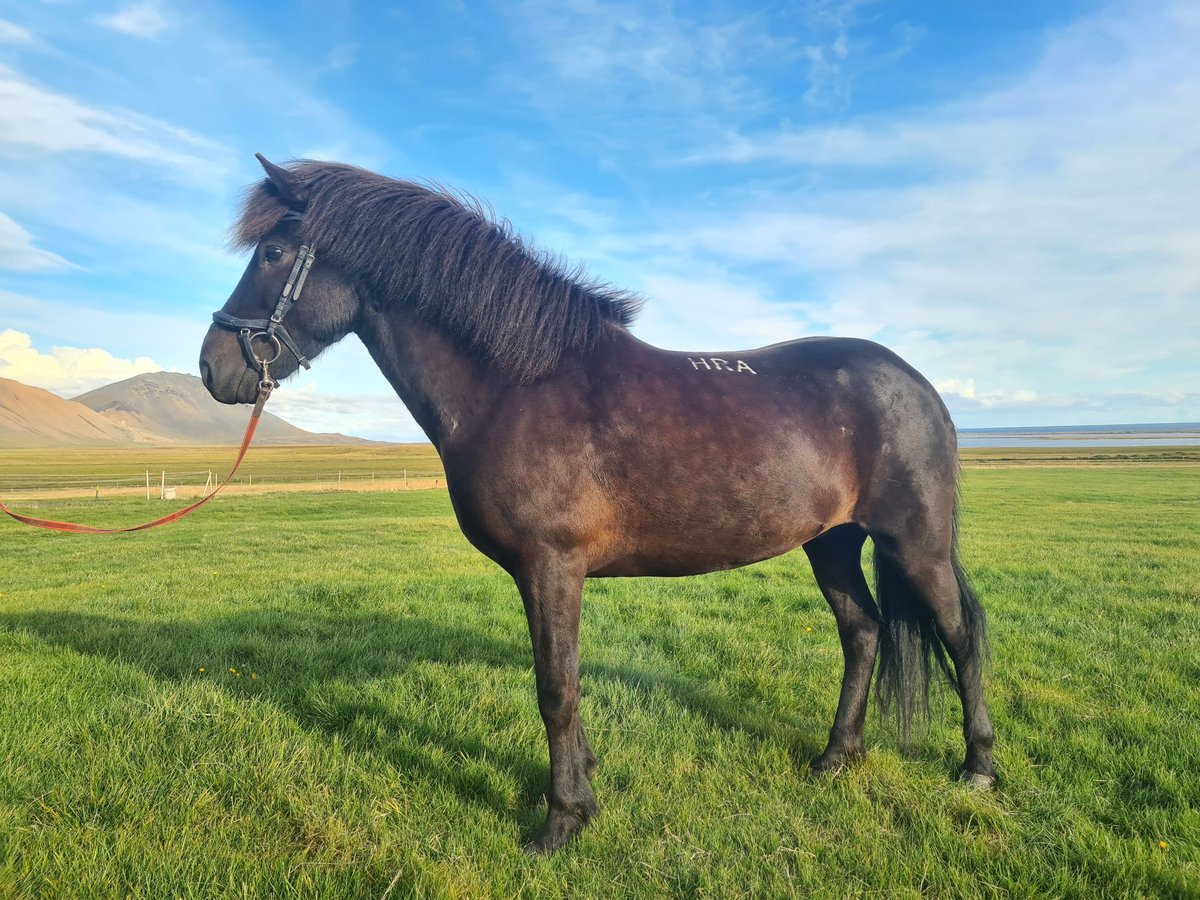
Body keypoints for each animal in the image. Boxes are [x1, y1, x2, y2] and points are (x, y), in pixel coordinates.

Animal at [201, 153, 998, 854]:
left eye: (273, 251)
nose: (212, 369)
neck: (519, 386)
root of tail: (916, 383)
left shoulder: (551, 566)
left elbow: (555, 688)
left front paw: (560, 823)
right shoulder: (547, 575)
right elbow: (565, 684)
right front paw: (582, 791)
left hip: (914, 543)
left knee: (959, 636)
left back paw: (978, 768)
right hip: (831, 540)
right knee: (862, 632)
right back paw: (837, 756)